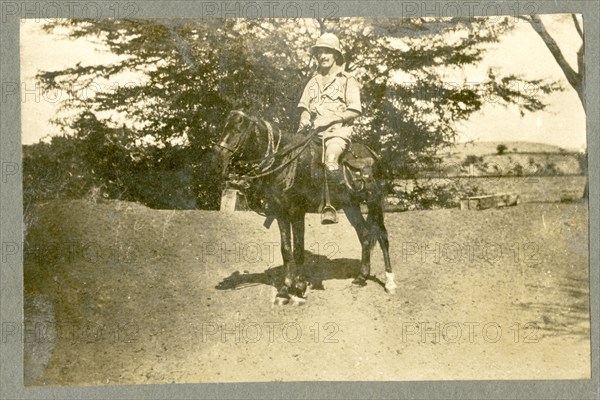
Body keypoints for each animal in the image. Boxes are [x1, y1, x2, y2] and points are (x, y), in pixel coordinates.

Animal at [213, 109, 396, 304]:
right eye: (224, 128)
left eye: (238, 129)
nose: (218, 160)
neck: (285, 163)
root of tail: (374, 155)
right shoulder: (281, 212)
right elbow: (286, 250)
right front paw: (284, 290)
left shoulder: (296, 211)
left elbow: (299, 250)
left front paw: (299, 287)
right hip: (350, 206)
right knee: (365, 235)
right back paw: (361, 277)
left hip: (375, 202)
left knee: (382, 237)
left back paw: (390, 283)